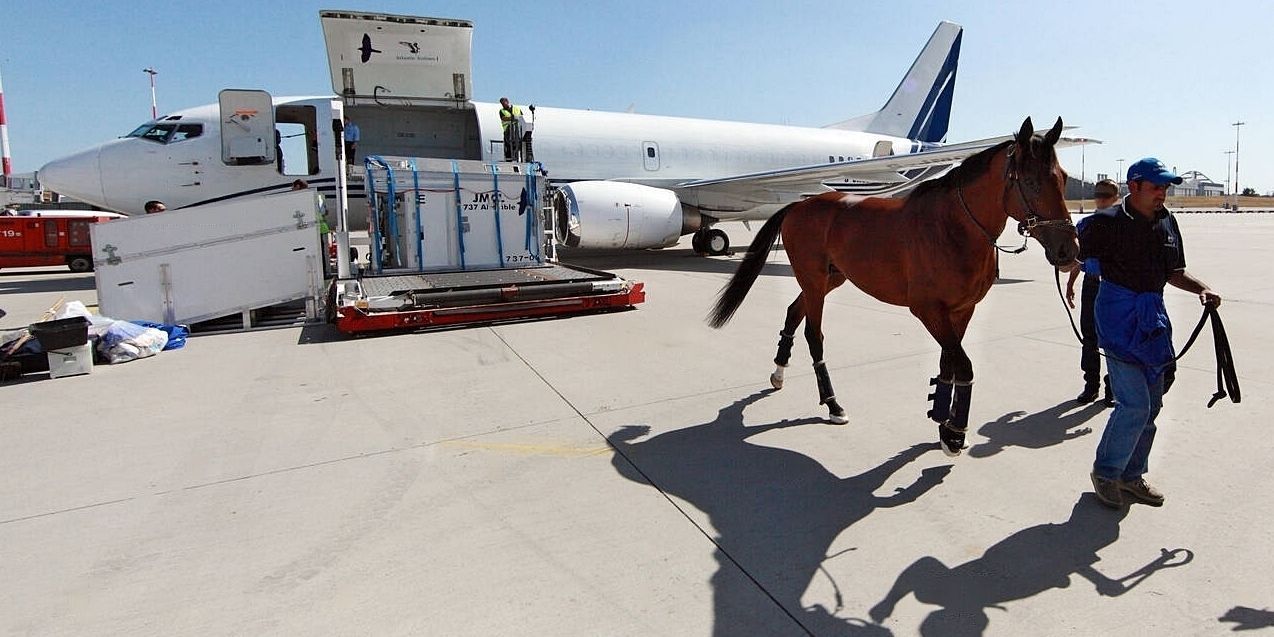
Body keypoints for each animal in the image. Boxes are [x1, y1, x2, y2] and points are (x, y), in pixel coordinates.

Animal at [707, 117, 1079, 456]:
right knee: (814, 335)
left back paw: (779, 374)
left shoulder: (961, 310)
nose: (1068, 251)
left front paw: (942, 422)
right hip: (813, 280)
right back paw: (832, 404)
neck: (952, 228)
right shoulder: (929, 311)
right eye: (1030, 181)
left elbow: (948, 364)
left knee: (793, 312)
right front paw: (955, 434)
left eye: (1062, 178)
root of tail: (799, 204)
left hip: (829, 279)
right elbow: (963, 365)